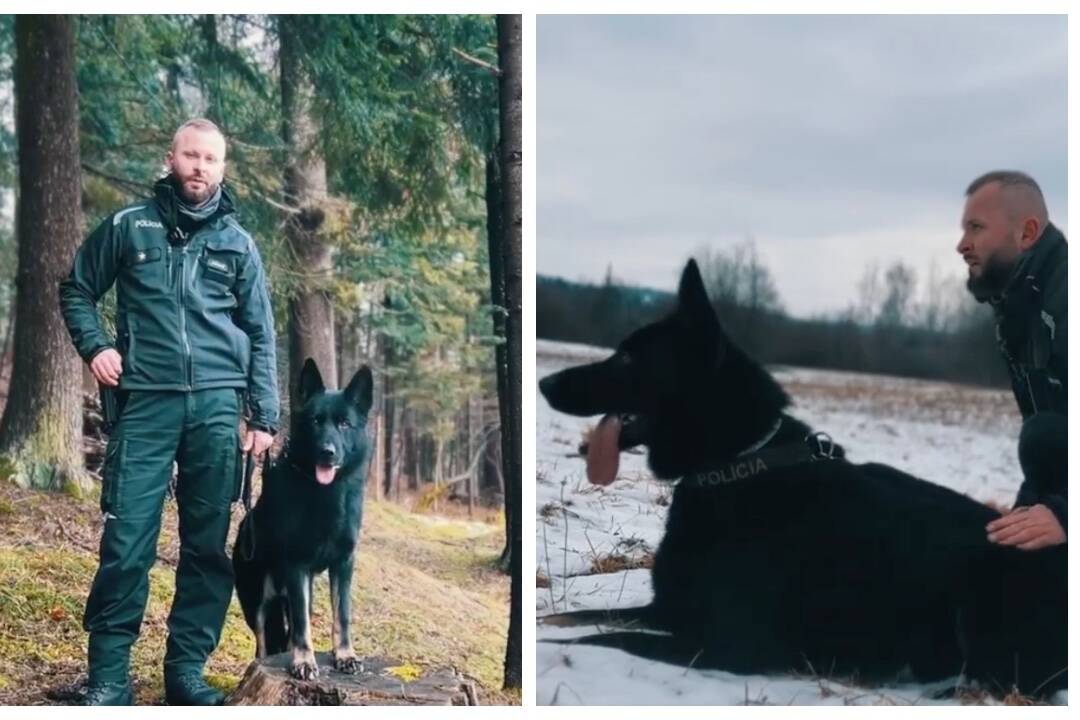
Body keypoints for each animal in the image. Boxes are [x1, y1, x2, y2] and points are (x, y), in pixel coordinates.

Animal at [537, 262, 1062, 699]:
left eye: (628, 359)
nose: (544, 384)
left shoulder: (731, 644)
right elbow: (574, 616)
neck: (737, 462)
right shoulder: (669, 609)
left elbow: (601, 638)